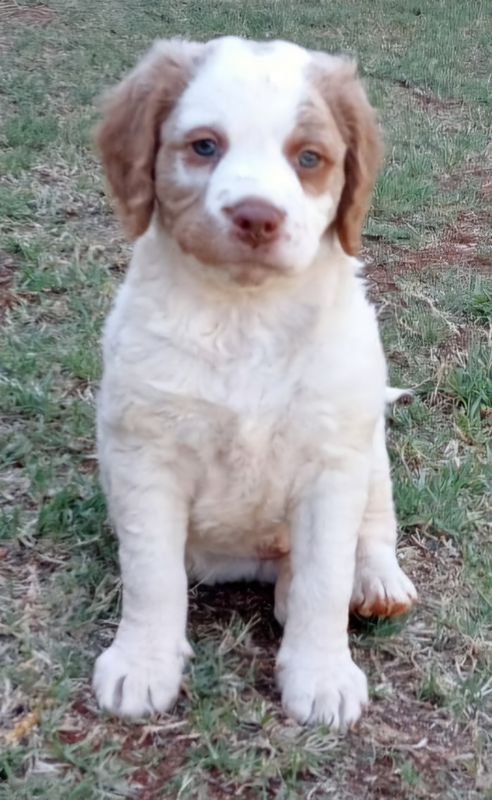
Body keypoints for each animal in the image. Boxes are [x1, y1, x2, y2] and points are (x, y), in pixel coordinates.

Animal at [91, 37, 416, 732]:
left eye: (309, 158)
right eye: (204, 146)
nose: (257, 217)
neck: (247, 316)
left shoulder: (332, 463)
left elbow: (326, 578)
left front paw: (322, 675)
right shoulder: (144, 456)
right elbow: (151, 575)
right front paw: (142, 662)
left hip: (369, 453)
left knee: (371, 530)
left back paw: (374, 583)